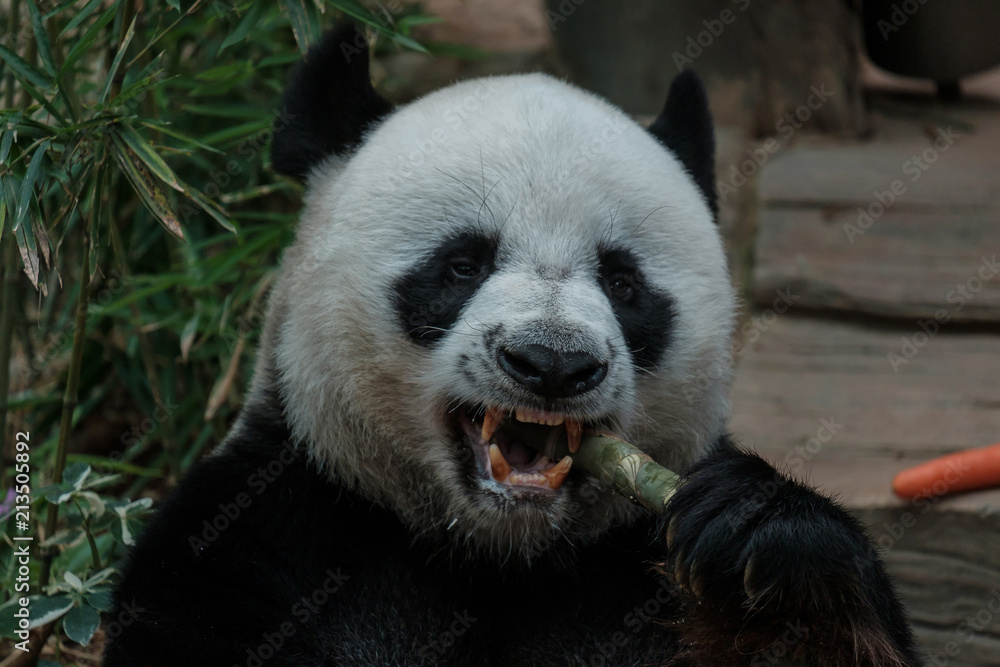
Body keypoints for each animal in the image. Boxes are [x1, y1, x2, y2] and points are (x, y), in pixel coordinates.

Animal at [104, 24, 921, 667]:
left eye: (623, 281)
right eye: (462, 263)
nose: (553, 362)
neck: (496, 561)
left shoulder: (632, 570)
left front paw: (765, 543)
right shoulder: (258, 544)